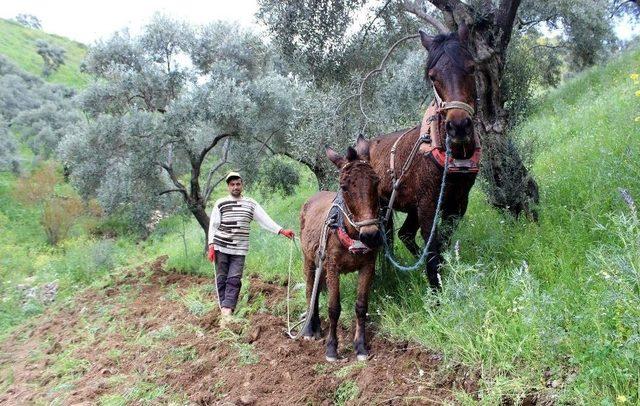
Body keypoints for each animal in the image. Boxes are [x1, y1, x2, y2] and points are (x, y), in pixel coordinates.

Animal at [298, 140, 380, 362]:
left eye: (376, 181)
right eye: (344, 187)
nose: (370, 235)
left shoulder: (368, 266)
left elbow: (361, 306)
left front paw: (360, 347)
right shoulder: (333, 267)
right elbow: (334, 308)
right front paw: (331, 349)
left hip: (321, 264)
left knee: (317, 291)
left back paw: (317, 327)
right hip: (310, 260)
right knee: (310, 291)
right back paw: (309, 330)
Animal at [368, 23, 478, 290]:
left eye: (471, 67)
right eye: (432, 76)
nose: (459, 126)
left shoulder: (458, 202)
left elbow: (442, 242)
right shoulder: (428, 204)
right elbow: (433, 248)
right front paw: (437, 292)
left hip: (410, 207)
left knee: (404, 234)